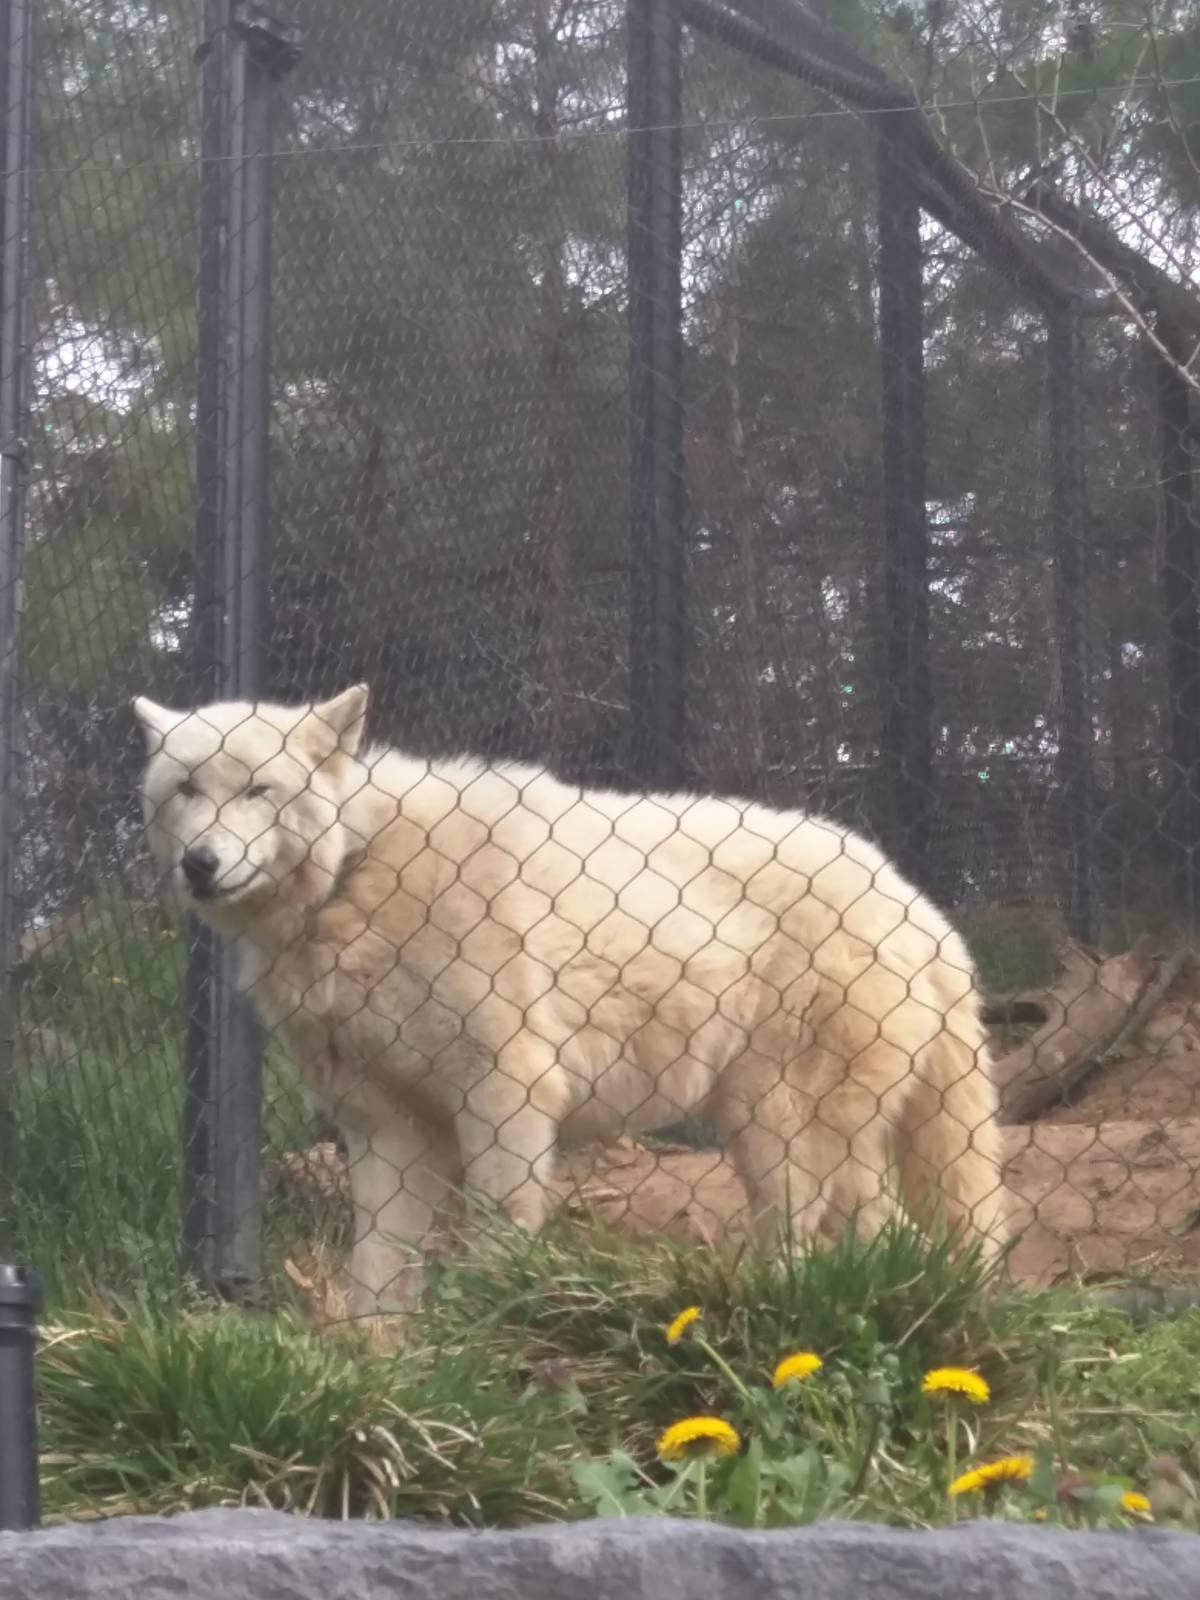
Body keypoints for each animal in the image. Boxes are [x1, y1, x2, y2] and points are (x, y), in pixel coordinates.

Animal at [132, 683, 1009, 1326]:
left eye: (259, 790)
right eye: (186, 789)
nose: (201, 864)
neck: (359, 876)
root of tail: (917, 903)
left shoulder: (506, 1090)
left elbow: (497, 1228)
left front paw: (494, 1324)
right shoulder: (385, 1124)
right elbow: (377, 1268)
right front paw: (380, 1367)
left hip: (785, 1129)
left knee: (841, 1233)